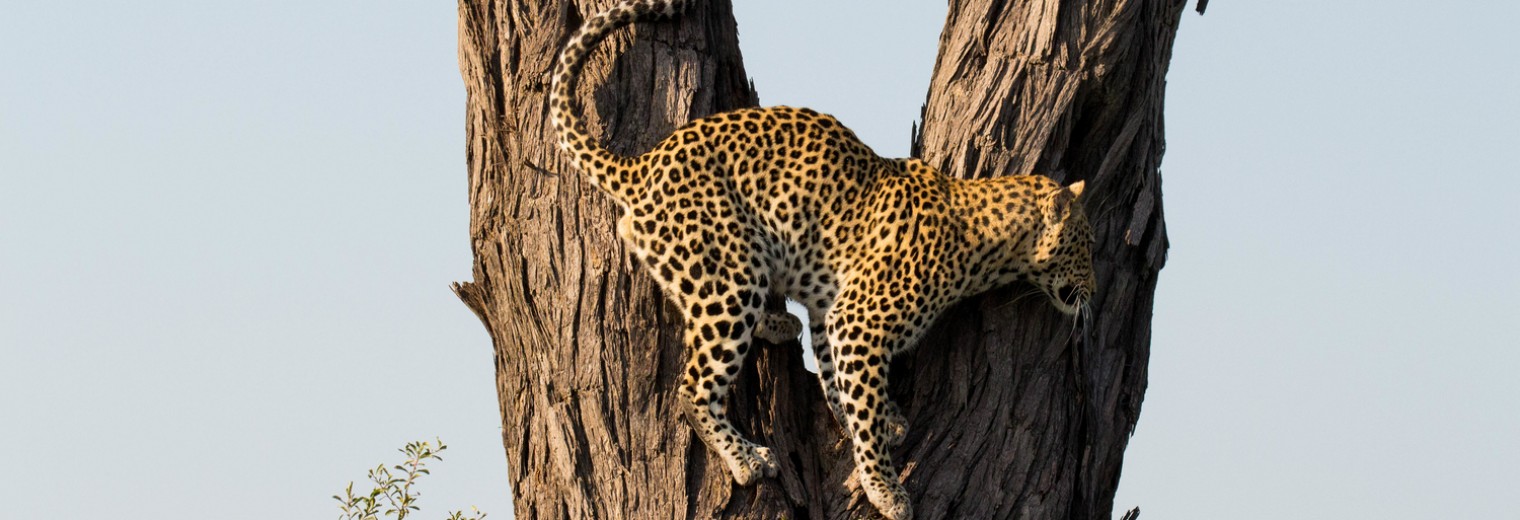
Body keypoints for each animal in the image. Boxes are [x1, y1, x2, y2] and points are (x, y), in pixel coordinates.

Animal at [553, 2, 1100, 516]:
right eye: (1088, 245)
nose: (1094, 290)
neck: (986, 237)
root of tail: (641, 165)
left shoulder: (832, 313)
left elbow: (843, 387)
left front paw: (884, 420)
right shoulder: (861, 320)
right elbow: (861, 404)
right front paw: (885, 487)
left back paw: (776, 325)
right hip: (729, 278)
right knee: (692, 386)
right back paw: (746, 456)